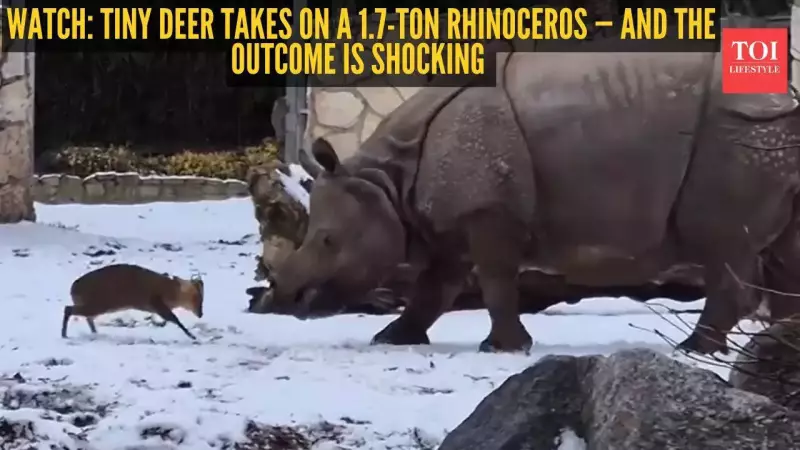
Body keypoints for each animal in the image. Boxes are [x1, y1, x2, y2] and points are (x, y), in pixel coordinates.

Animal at [264, 50, 800, 355]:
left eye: (328, 241)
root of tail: (786, 100)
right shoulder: (448, 224)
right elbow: (435, 288)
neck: (387, 183)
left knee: (723, 245)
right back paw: (780, 346)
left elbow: (497, 281)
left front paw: (502, 350)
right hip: (769, 139)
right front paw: (393, 339)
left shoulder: (489, 213)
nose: (282, 299)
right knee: (780, 250)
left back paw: (696, 350)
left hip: (738, 135)